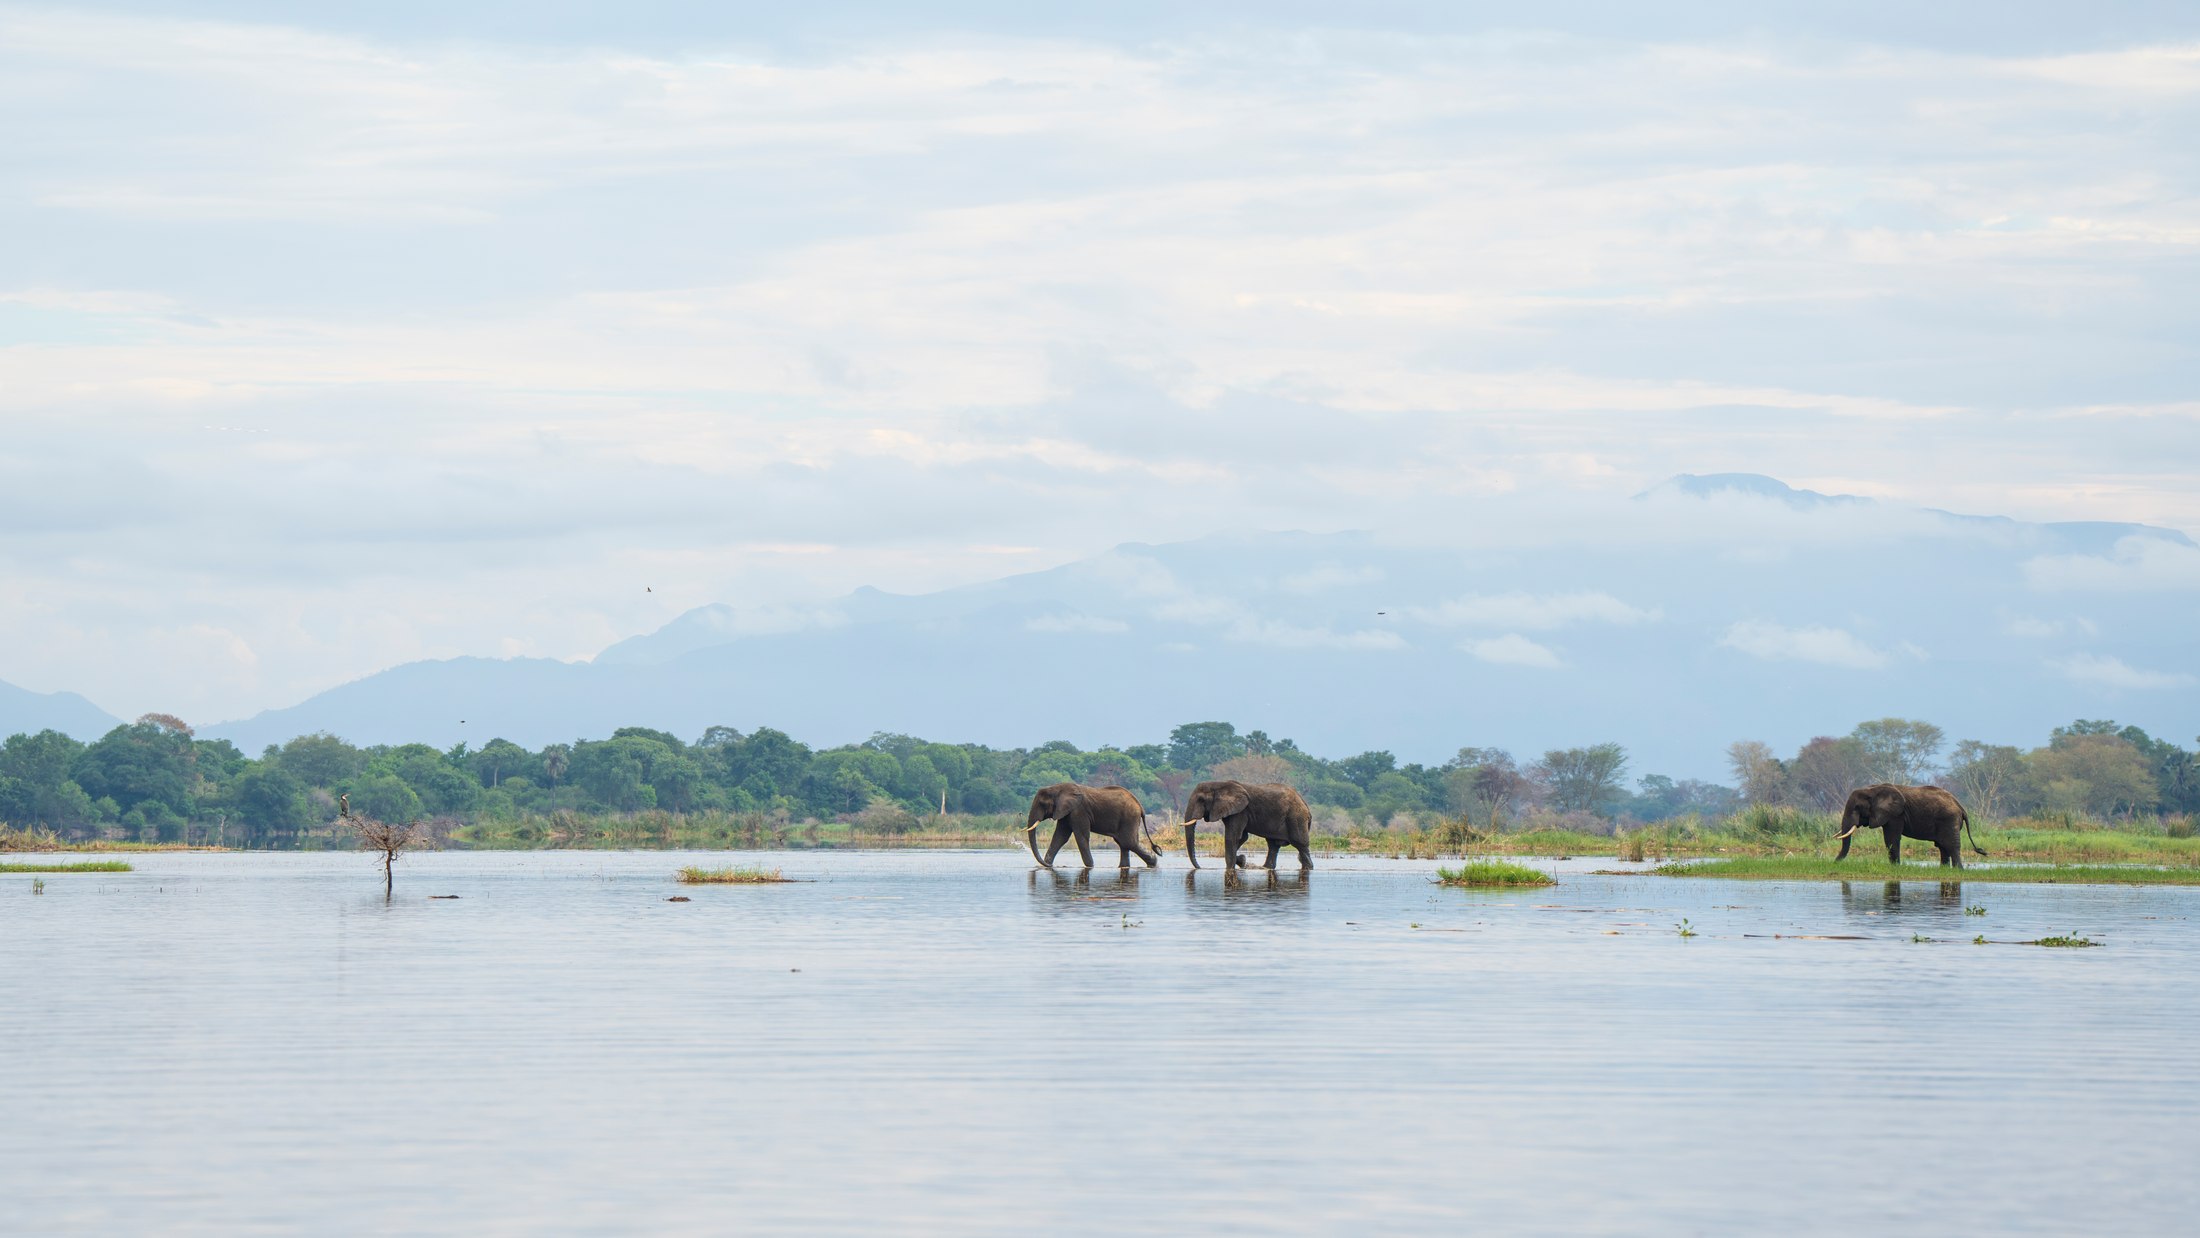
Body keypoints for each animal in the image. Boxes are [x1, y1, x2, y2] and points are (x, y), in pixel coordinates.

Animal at [1024, 783, 1160, 870]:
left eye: (1042, 804)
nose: (1048, 865)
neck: (1058, 787)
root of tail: (1140, 806)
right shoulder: (1066, 812)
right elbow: (1060, 837)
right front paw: (1046, 865)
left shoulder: (1079, 811)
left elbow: (1081, 836)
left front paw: (1090, 866)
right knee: (1124, 843)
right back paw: (1126, 866)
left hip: (1129, 817)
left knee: (1128, 842)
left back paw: (1153, 864)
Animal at [1182, 780, 1313, 871]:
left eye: (1201, 800)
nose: (1200, 867)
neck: (1220, 784)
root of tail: (1305, 804)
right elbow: (1241, 837)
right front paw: (1242, 861)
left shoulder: (1240, 811)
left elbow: (1232, 837)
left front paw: (1232, 867)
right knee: (1273, 845)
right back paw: (1265, 868)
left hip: (1296, 818)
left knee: (1300, 844)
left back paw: (1308, 867)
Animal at [1835, 783, 1987, 868]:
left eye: (1857, 808)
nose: (1834, 863)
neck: (1872, 789)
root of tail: (1961, 807)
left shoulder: (1896, 814)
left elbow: (1891, 838)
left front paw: (1895, 867)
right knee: (1942, 846)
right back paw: (1944, 870)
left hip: (1949, 820)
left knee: (1951, 845)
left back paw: (1958, 870)